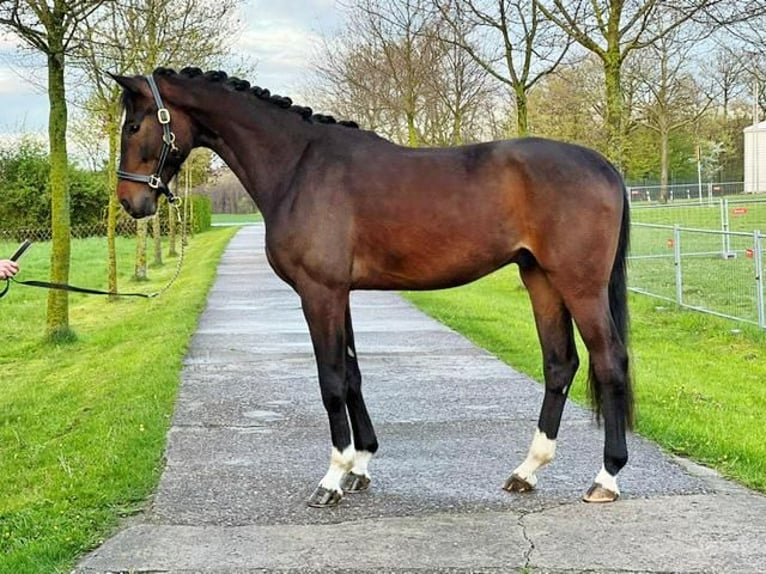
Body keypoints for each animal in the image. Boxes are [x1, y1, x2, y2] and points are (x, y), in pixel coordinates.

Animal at [112, 67, 633, 508]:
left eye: (134, 126)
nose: (131, 202)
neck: (299, 167)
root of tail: (604, 165)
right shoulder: (338, 293)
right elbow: (352, 374)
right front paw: (360, 465)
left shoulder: (319, 292)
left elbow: (330, 380)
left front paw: (331, 478)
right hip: (539, 278)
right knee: (560, 364)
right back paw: (527, 471)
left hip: (579, 285)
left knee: (609, 361)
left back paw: (606, 478)